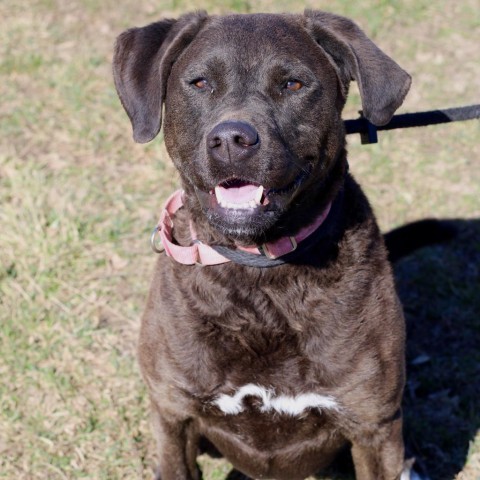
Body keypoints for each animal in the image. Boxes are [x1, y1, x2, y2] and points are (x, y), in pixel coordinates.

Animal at [113, 10, 416, 480]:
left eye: (293, 84)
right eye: (200, 82)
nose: (231, 140)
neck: (259, 278)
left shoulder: (374, 426)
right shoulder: (173, 414)